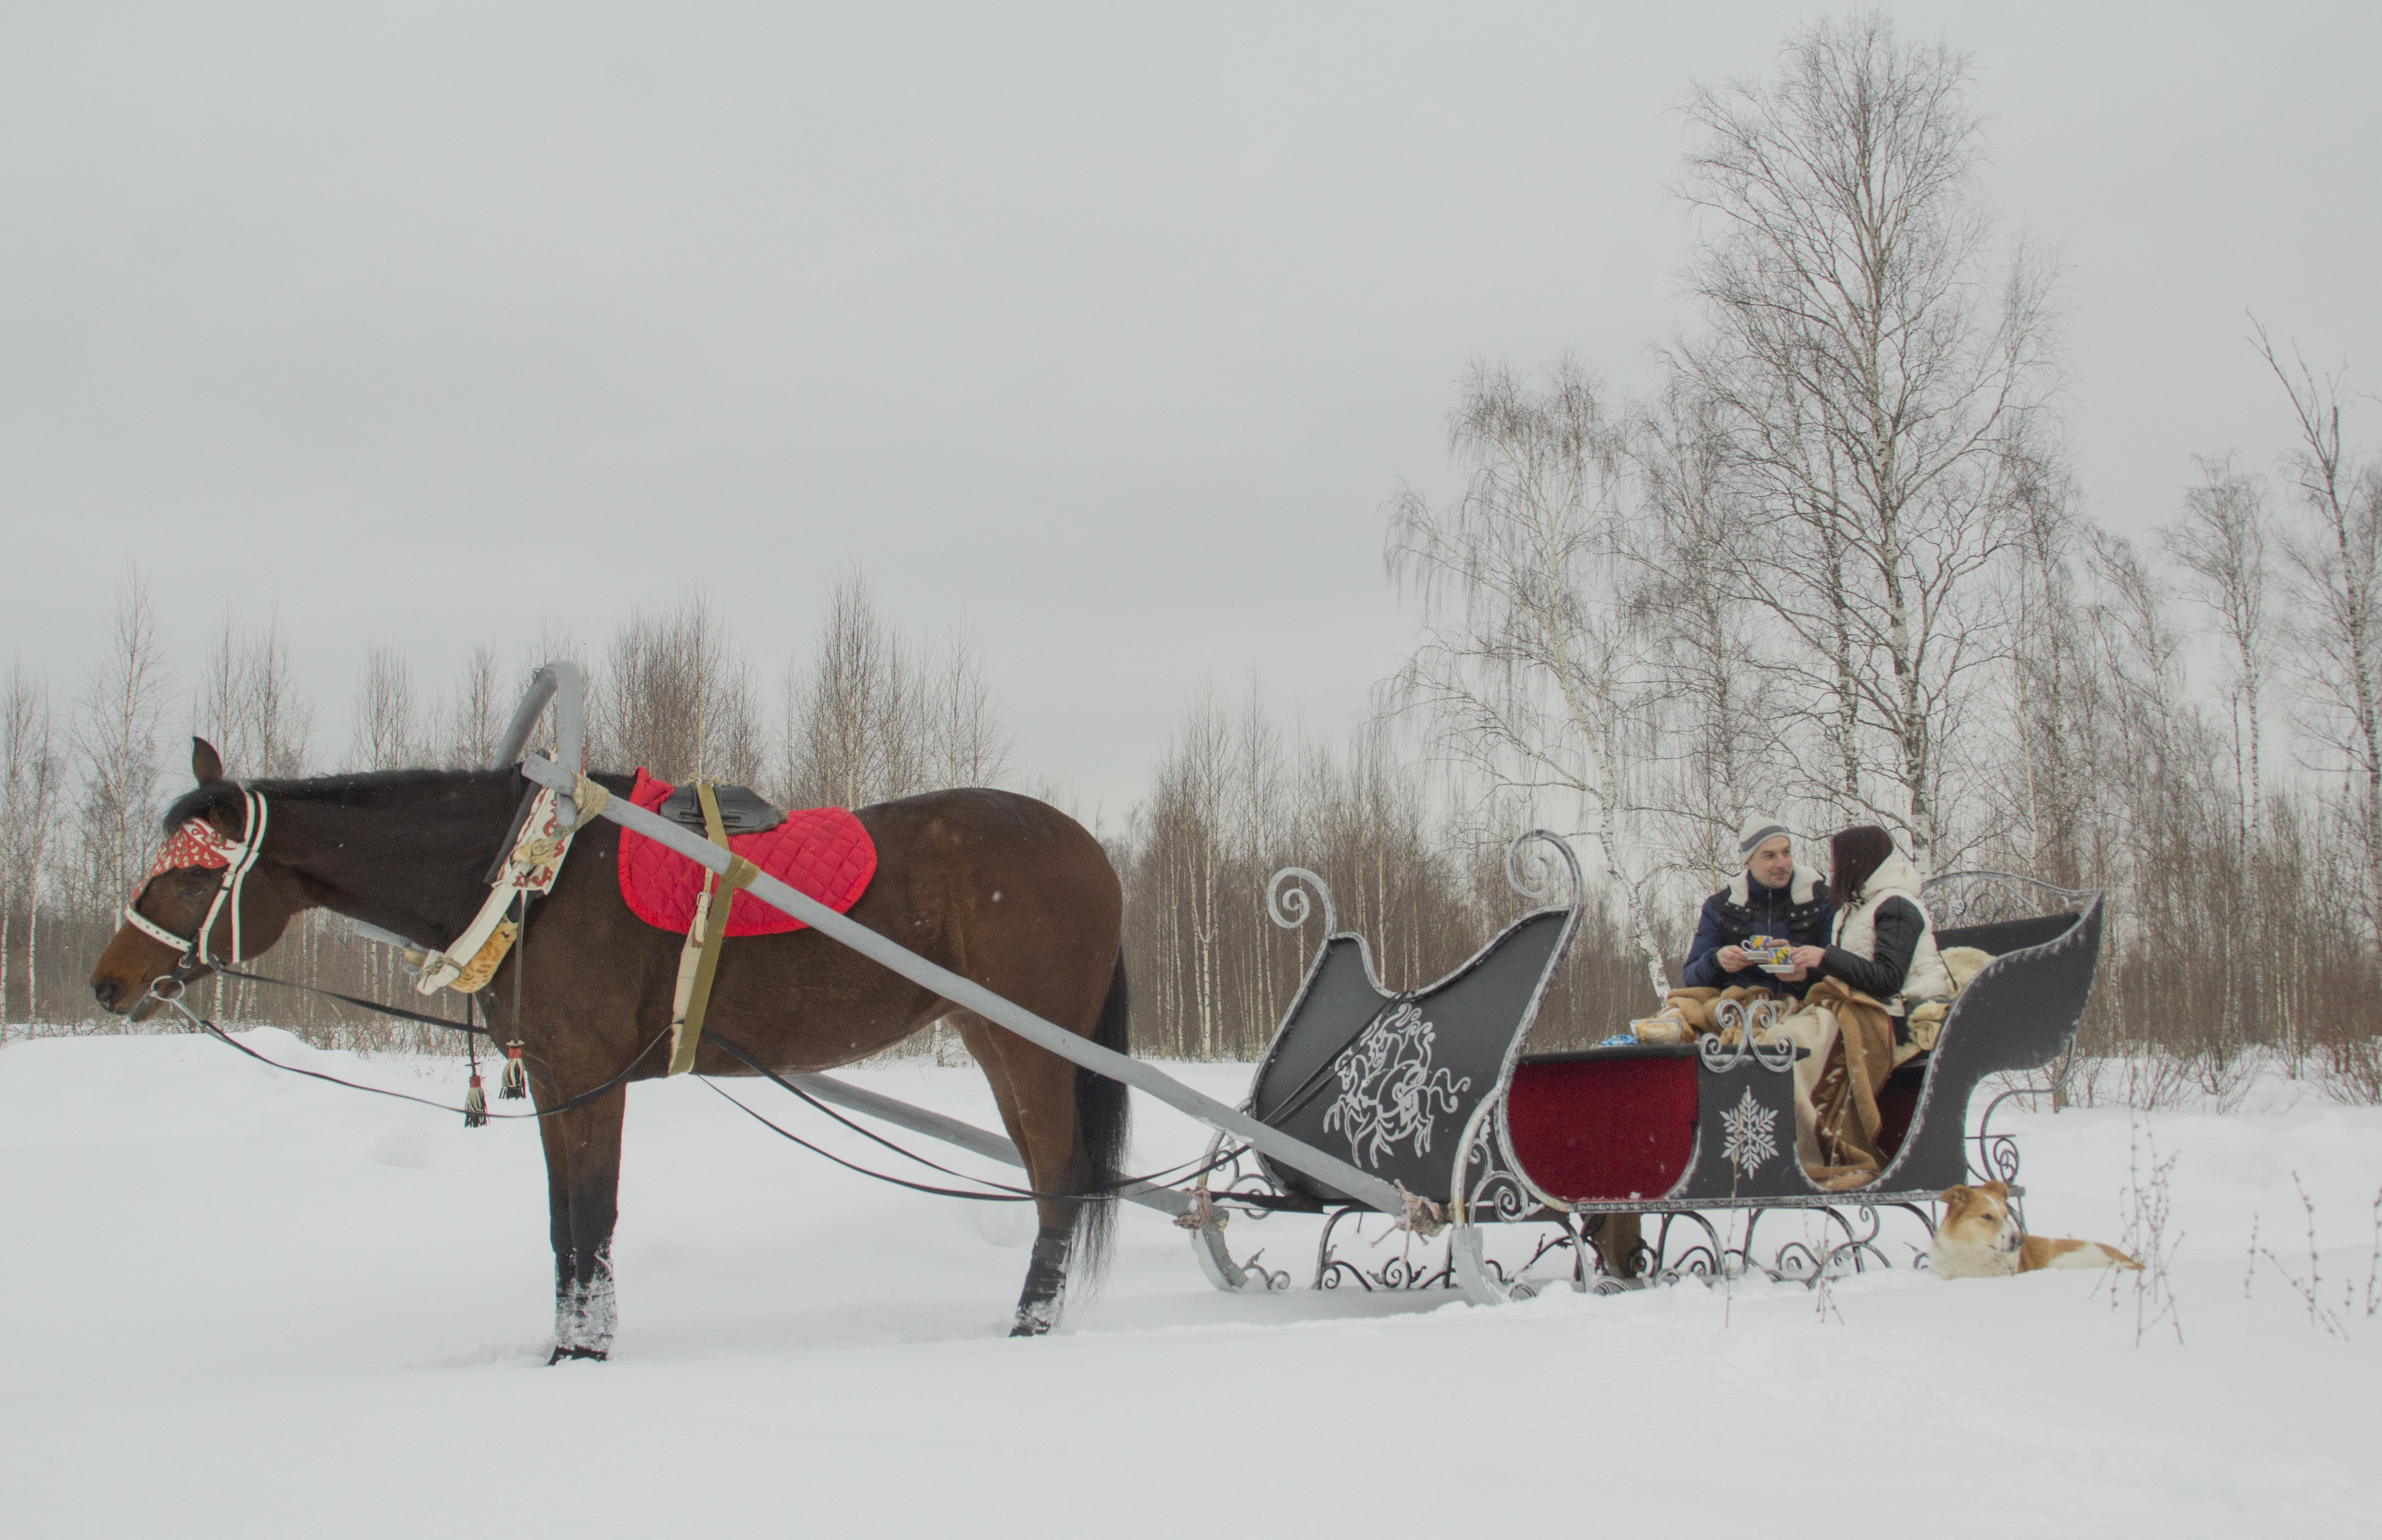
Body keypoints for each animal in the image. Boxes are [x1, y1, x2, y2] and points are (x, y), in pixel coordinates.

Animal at [93, 743, 1134, 1354]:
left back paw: (1032, 1322)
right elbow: (563, 1226)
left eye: (193, 877)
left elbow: (592, 1218)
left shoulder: (593, 1076)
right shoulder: (556, 1076)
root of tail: (1090, 850)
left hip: (1031, 1042)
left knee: (1058, 1175)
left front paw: (584, 1347)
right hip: (993, 1039)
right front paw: (567, 1342)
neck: (532, 879)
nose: (106, 981)